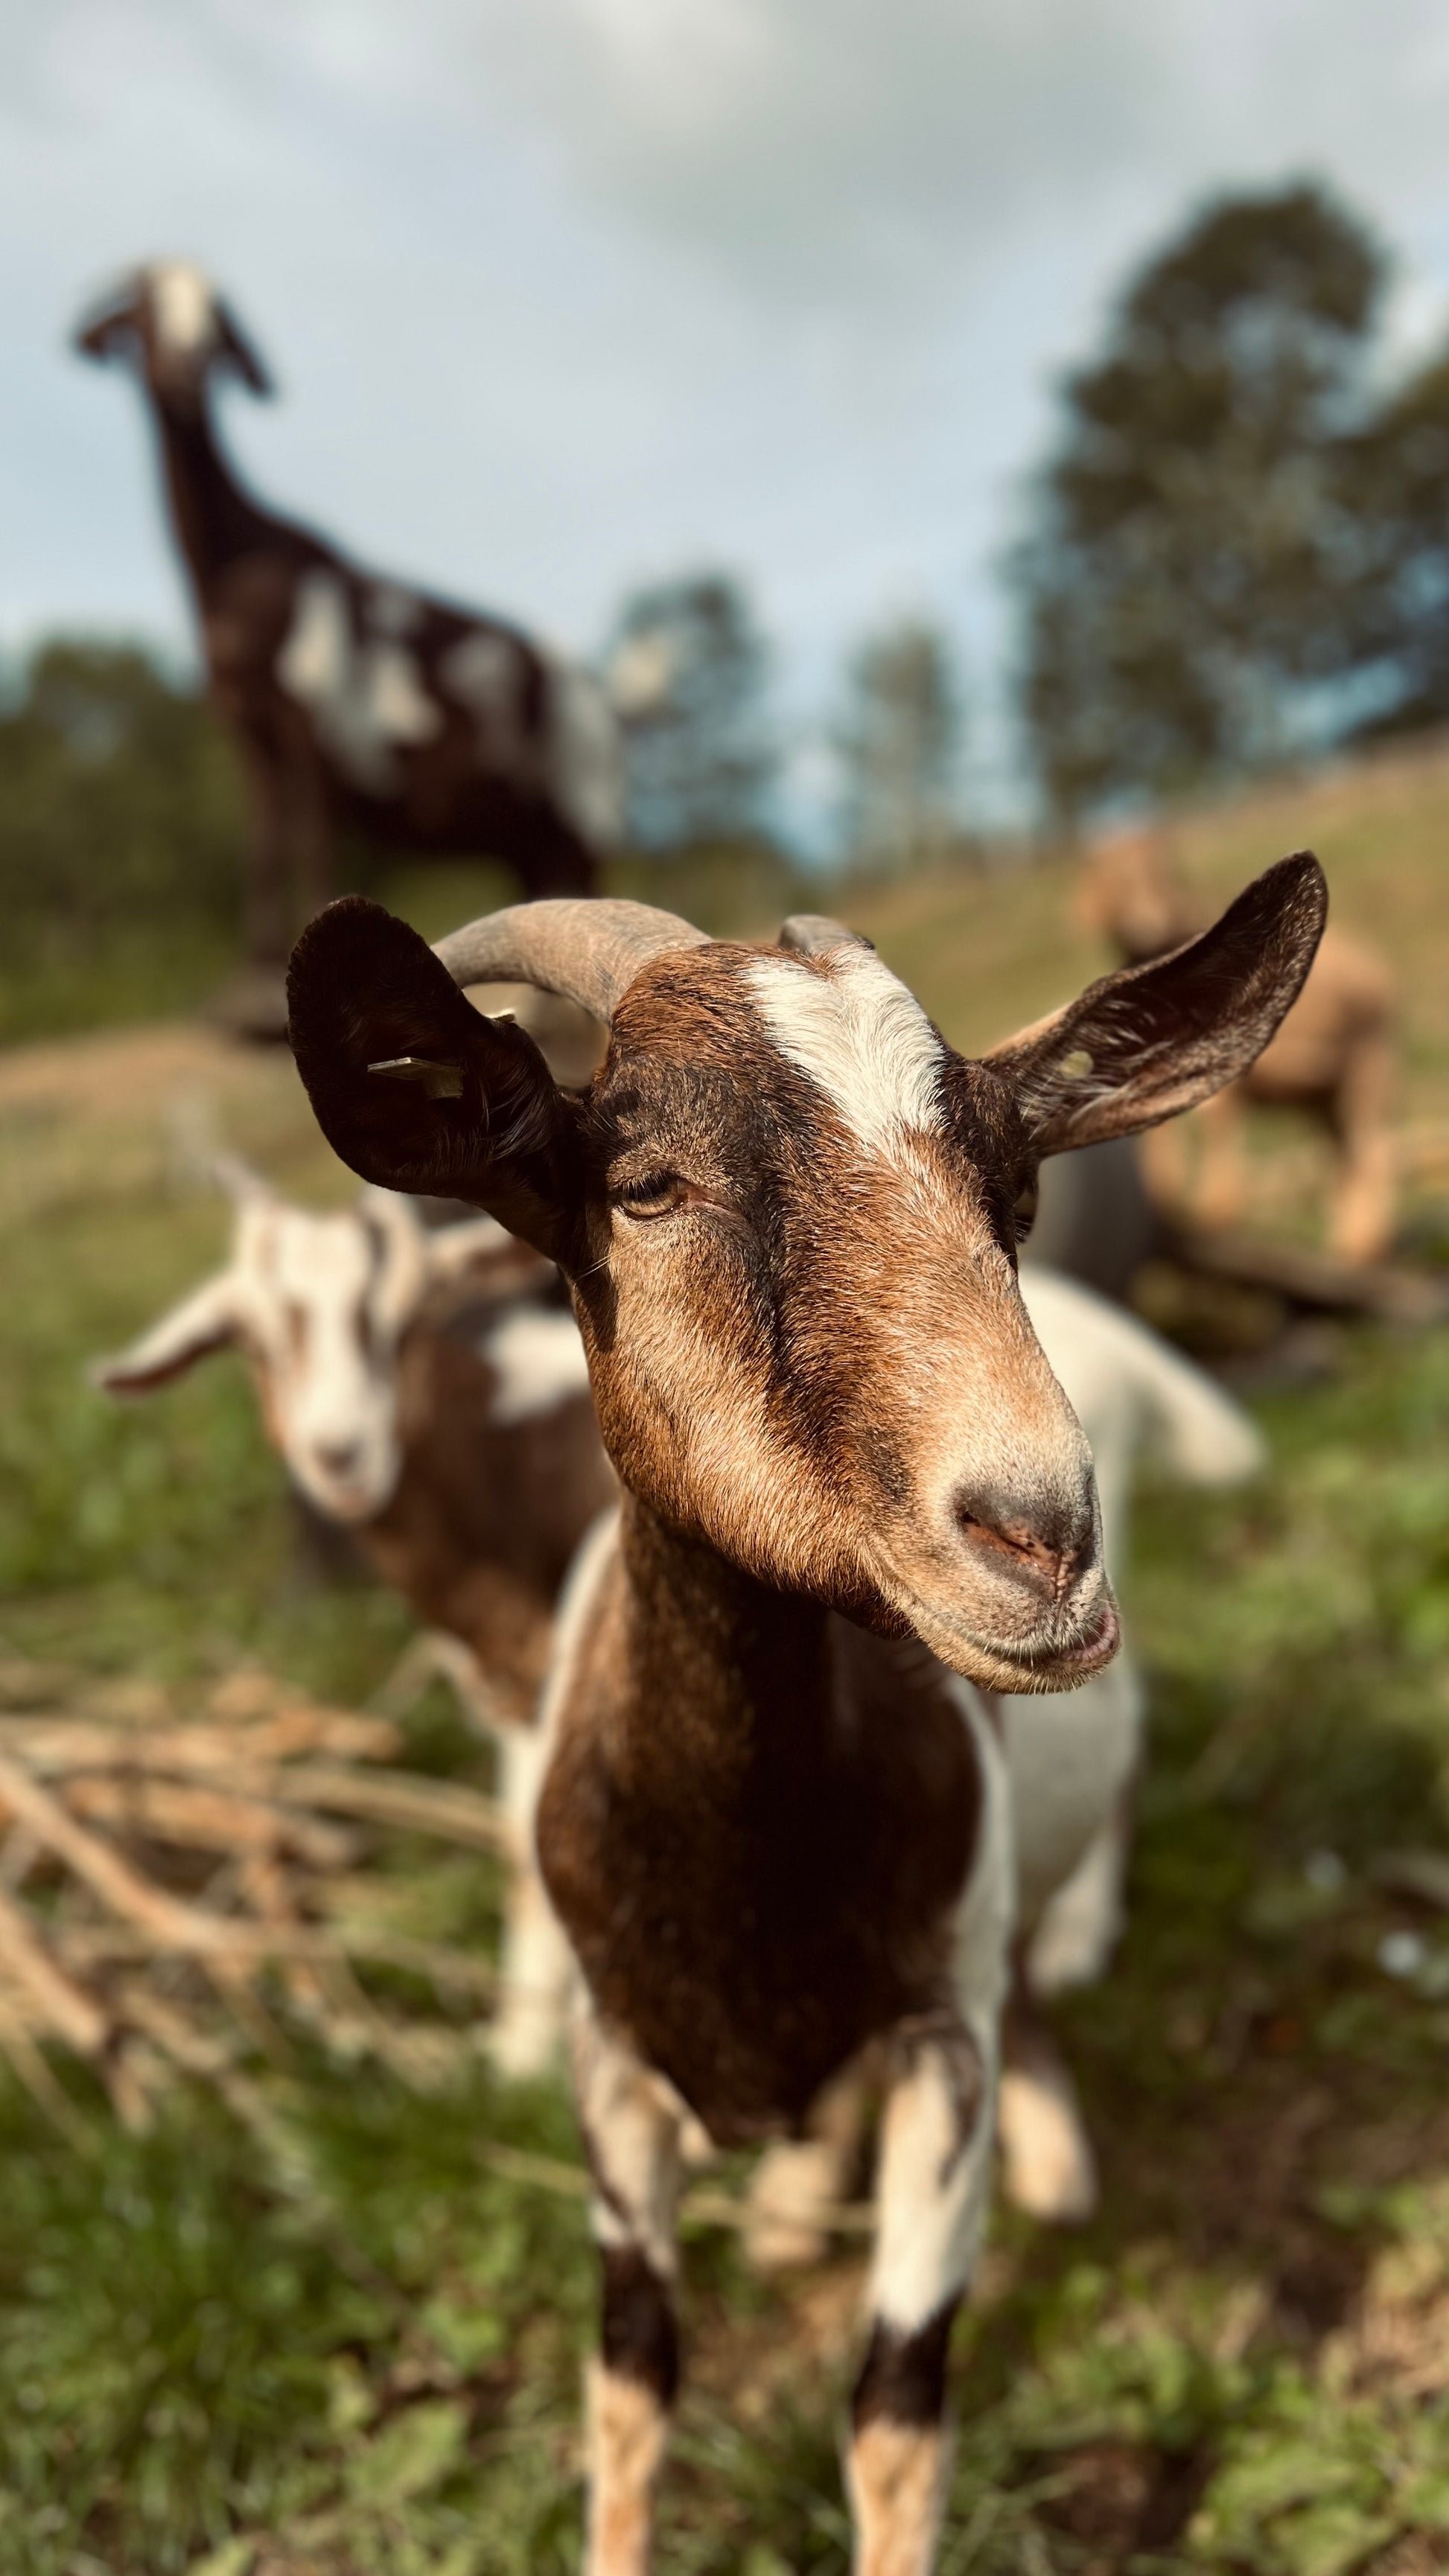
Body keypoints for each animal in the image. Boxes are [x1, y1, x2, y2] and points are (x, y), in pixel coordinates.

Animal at [74, 261, 617, 986]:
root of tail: (599, 694)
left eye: (216, 328)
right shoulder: (247, 727)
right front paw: (252, 966)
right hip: (526, 841)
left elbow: (311, 835)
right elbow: (264, 838)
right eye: (142, 313)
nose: (187, 368)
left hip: (584, 811)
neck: (239, 566)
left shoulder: (313, 719)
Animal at [285, 860, 1324, 2574]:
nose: (1039, 1535)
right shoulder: (611, 2058)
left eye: (1014, 1192)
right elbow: (631, 2367)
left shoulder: (939, 2037)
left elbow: (895, 2401)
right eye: (646, 1184)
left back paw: (1049, 2136)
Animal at [1079, 829, 1397, 1264]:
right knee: (1344, 1152)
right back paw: (1345, 1242)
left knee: (1373, 1149)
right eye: (1115, 882)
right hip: (1323, 1094)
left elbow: (1216, 1122)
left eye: (1162, 876)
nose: (1147, 922)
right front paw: (1164, 1206)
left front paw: (1213, 1214)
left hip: (1370, 1062)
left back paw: (1361, 1247)